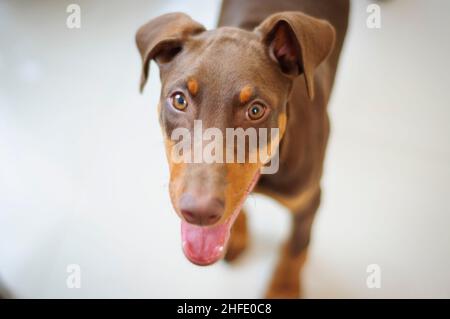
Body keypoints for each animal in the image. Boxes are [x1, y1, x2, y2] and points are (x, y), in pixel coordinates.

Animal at [135, 0, 350, 300]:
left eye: (256, 110)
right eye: (179, 100)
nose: (199, 213)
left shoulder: (309, 198)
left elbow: (296, 246)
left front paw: (283, 288)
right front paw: (235, 235)